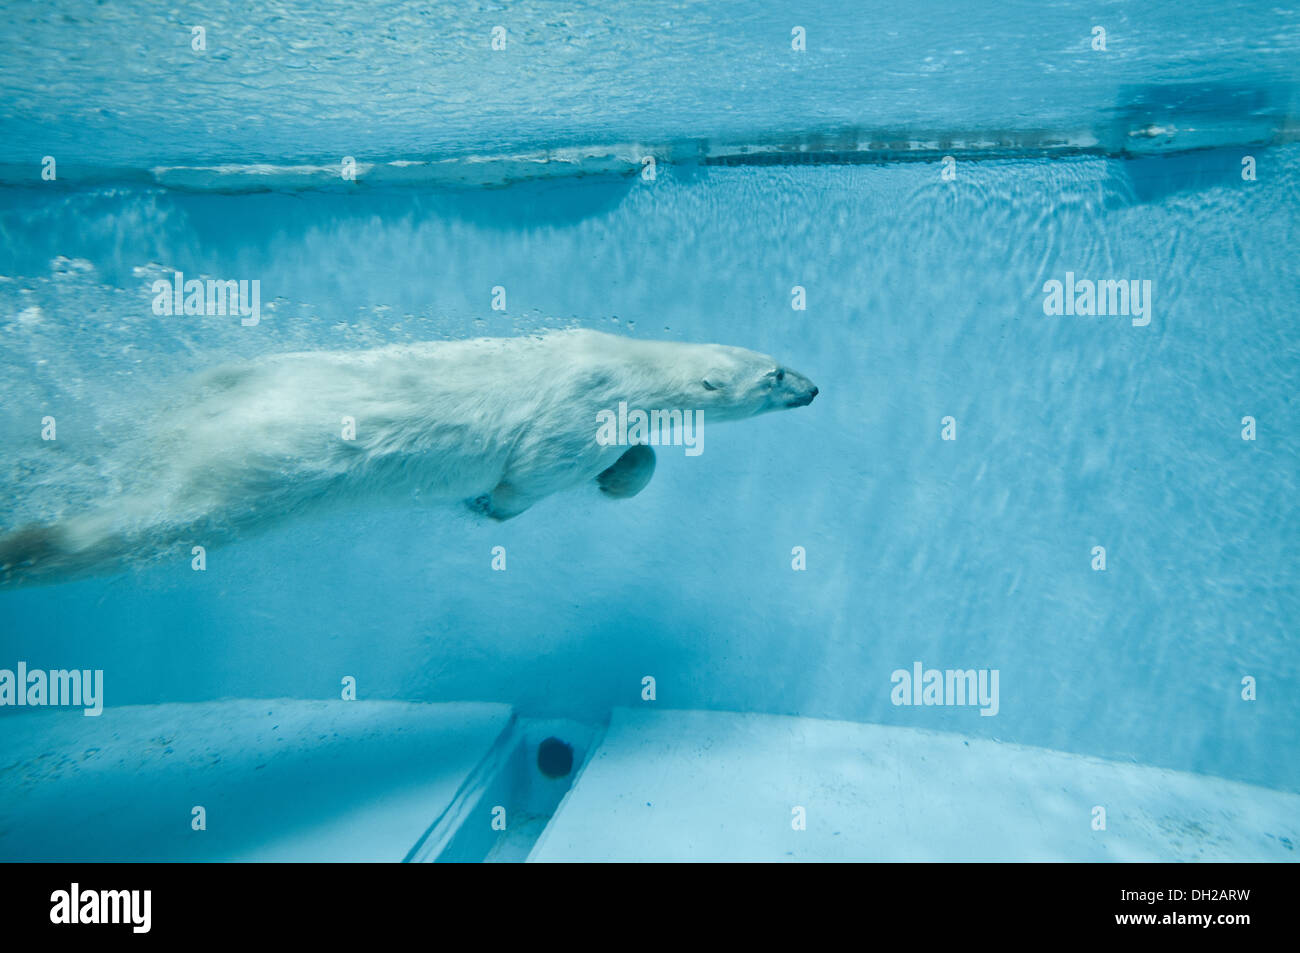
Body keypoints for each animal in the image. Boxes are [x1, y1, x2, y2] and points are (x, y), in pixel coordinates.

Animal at [0, 327, 816, 582]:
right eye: (775, 372)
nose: (813, 387)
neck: (630, 362)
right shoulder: (578, 408)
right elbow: (534, 470)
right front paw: (489, 505)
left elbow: (629, 459)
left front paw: (628, 472)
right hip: (233, 480)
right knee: (140, 523)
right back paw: (28, 542)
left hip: (219, 383)